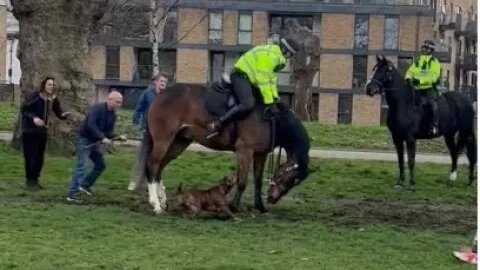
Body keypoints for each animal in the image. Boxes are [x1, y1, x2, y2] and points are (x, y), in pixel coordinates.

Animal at [139, 82, 312, 213]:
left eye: (294, 181)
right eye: (289, 178)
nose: (272, 198)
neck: (271, 119)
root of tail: (159, 96)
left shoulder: (260, 154)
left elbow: (257, 181)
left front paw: (260, 207)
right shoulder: (244, 150)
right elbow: (242, 181)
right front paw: (234, 206)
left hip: (178, 142)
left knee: (160, 167)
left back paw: (163, 201)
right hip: (163, 140)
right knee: (152, 166)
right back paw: (156, 204)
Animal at [366, 54, 474, 190]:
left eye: (382, 70)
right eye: (375, 69)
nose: (369, 89)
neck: (403, 104)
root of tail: (467, 101)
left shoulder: (410, 138)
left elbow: (411, 161)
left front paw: (412, 184)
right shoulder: (397, 138)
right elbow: (400, 160)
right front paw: (400, 182)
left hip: (465, 132)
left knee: (469, 154)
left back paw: (469, 181)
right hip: (449, 134)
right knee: (454, 153)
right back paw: (451, 180)